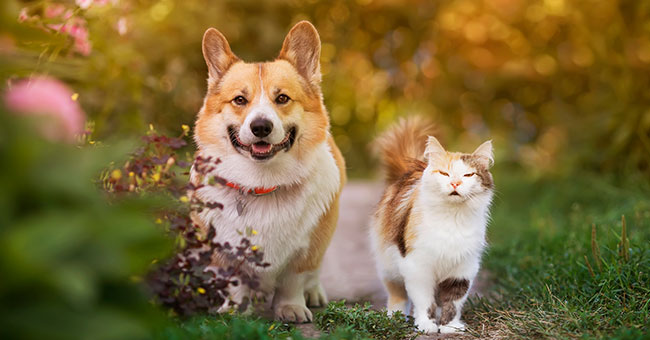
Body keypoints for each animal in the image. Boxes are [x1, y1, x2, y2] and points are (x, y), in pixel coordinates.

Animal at [189, 22, 344, 322]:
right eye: (239, 100)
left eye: (282, 98)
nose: (261, 126)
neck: (263, 183)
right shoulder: (224, 252)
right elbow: (236, 282)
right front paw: (235, 309)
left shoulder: (306, 250)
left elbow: (293, 280)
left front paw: (292, 308)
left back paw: (314, 293)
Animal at [368, 116, 494, 332]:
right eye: (444, 174)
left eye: (468, 175)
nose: (455, 183)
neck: (452, 218)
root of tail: (409, 169)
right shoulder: (418, 266)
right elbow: (424, 301)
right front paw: (426, 325)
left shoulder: (462, 269)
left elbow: (453, 301)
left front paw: (450, 326)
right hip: (389, 266)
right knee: (397, 295)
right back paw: (395, 318)